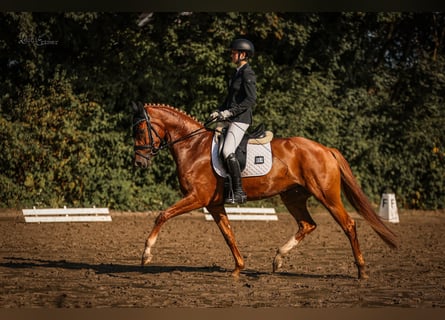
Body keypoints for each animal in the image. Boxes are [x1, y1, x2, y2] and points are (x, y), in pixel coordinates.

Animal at [131, 103, 396, 280]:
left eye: (141, 131)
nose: (139, 163)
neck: (193, 147)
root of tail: (324, 149)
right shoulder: (214, 204)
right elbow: (228, 234)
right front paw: (238, 267)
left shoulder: (197, 198)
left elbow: (162, 215)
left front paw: (146, 254)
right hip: (292, 196)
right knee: (307, 224)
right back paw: (278, 259)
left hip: (327, 196)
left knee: (348, 224)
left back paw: (361, 270)